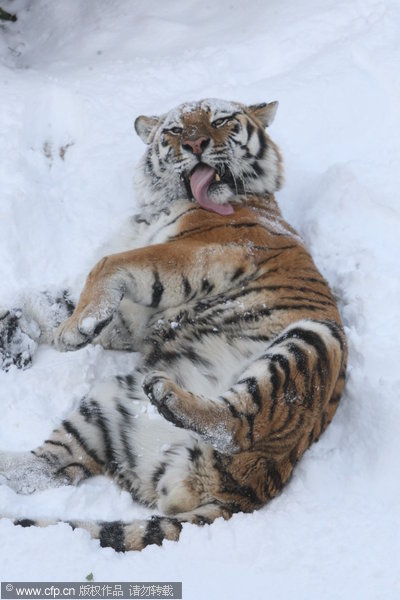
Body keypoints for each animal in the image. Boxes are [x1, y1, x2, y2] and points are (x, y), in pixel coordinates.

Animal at [0, 98, 346, 552]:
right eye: (176, 130)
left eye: (221, 120)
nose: (197, 144)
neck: (156, 207)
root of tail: (252, 488)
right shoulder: (130, 316)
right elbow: (50, 297)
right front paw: (28, 331)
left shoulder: (202, 251)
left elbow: (106, 265)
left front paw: (74, 330)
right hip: (106, 407)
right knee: (48, 466)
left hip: (313, 340)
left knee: (237, 423)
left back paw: (168, 394)